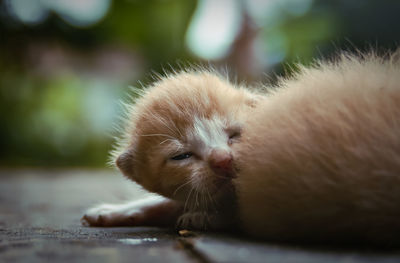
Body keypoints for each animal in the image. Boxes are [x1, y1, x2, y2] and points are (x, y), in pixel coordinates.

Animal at [82, 53, 400, 245]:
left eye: (235, 134)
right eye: (181, 156)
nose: (223, 160)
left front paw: (205, 217)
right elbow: (170, 201)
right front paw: (113, 211)